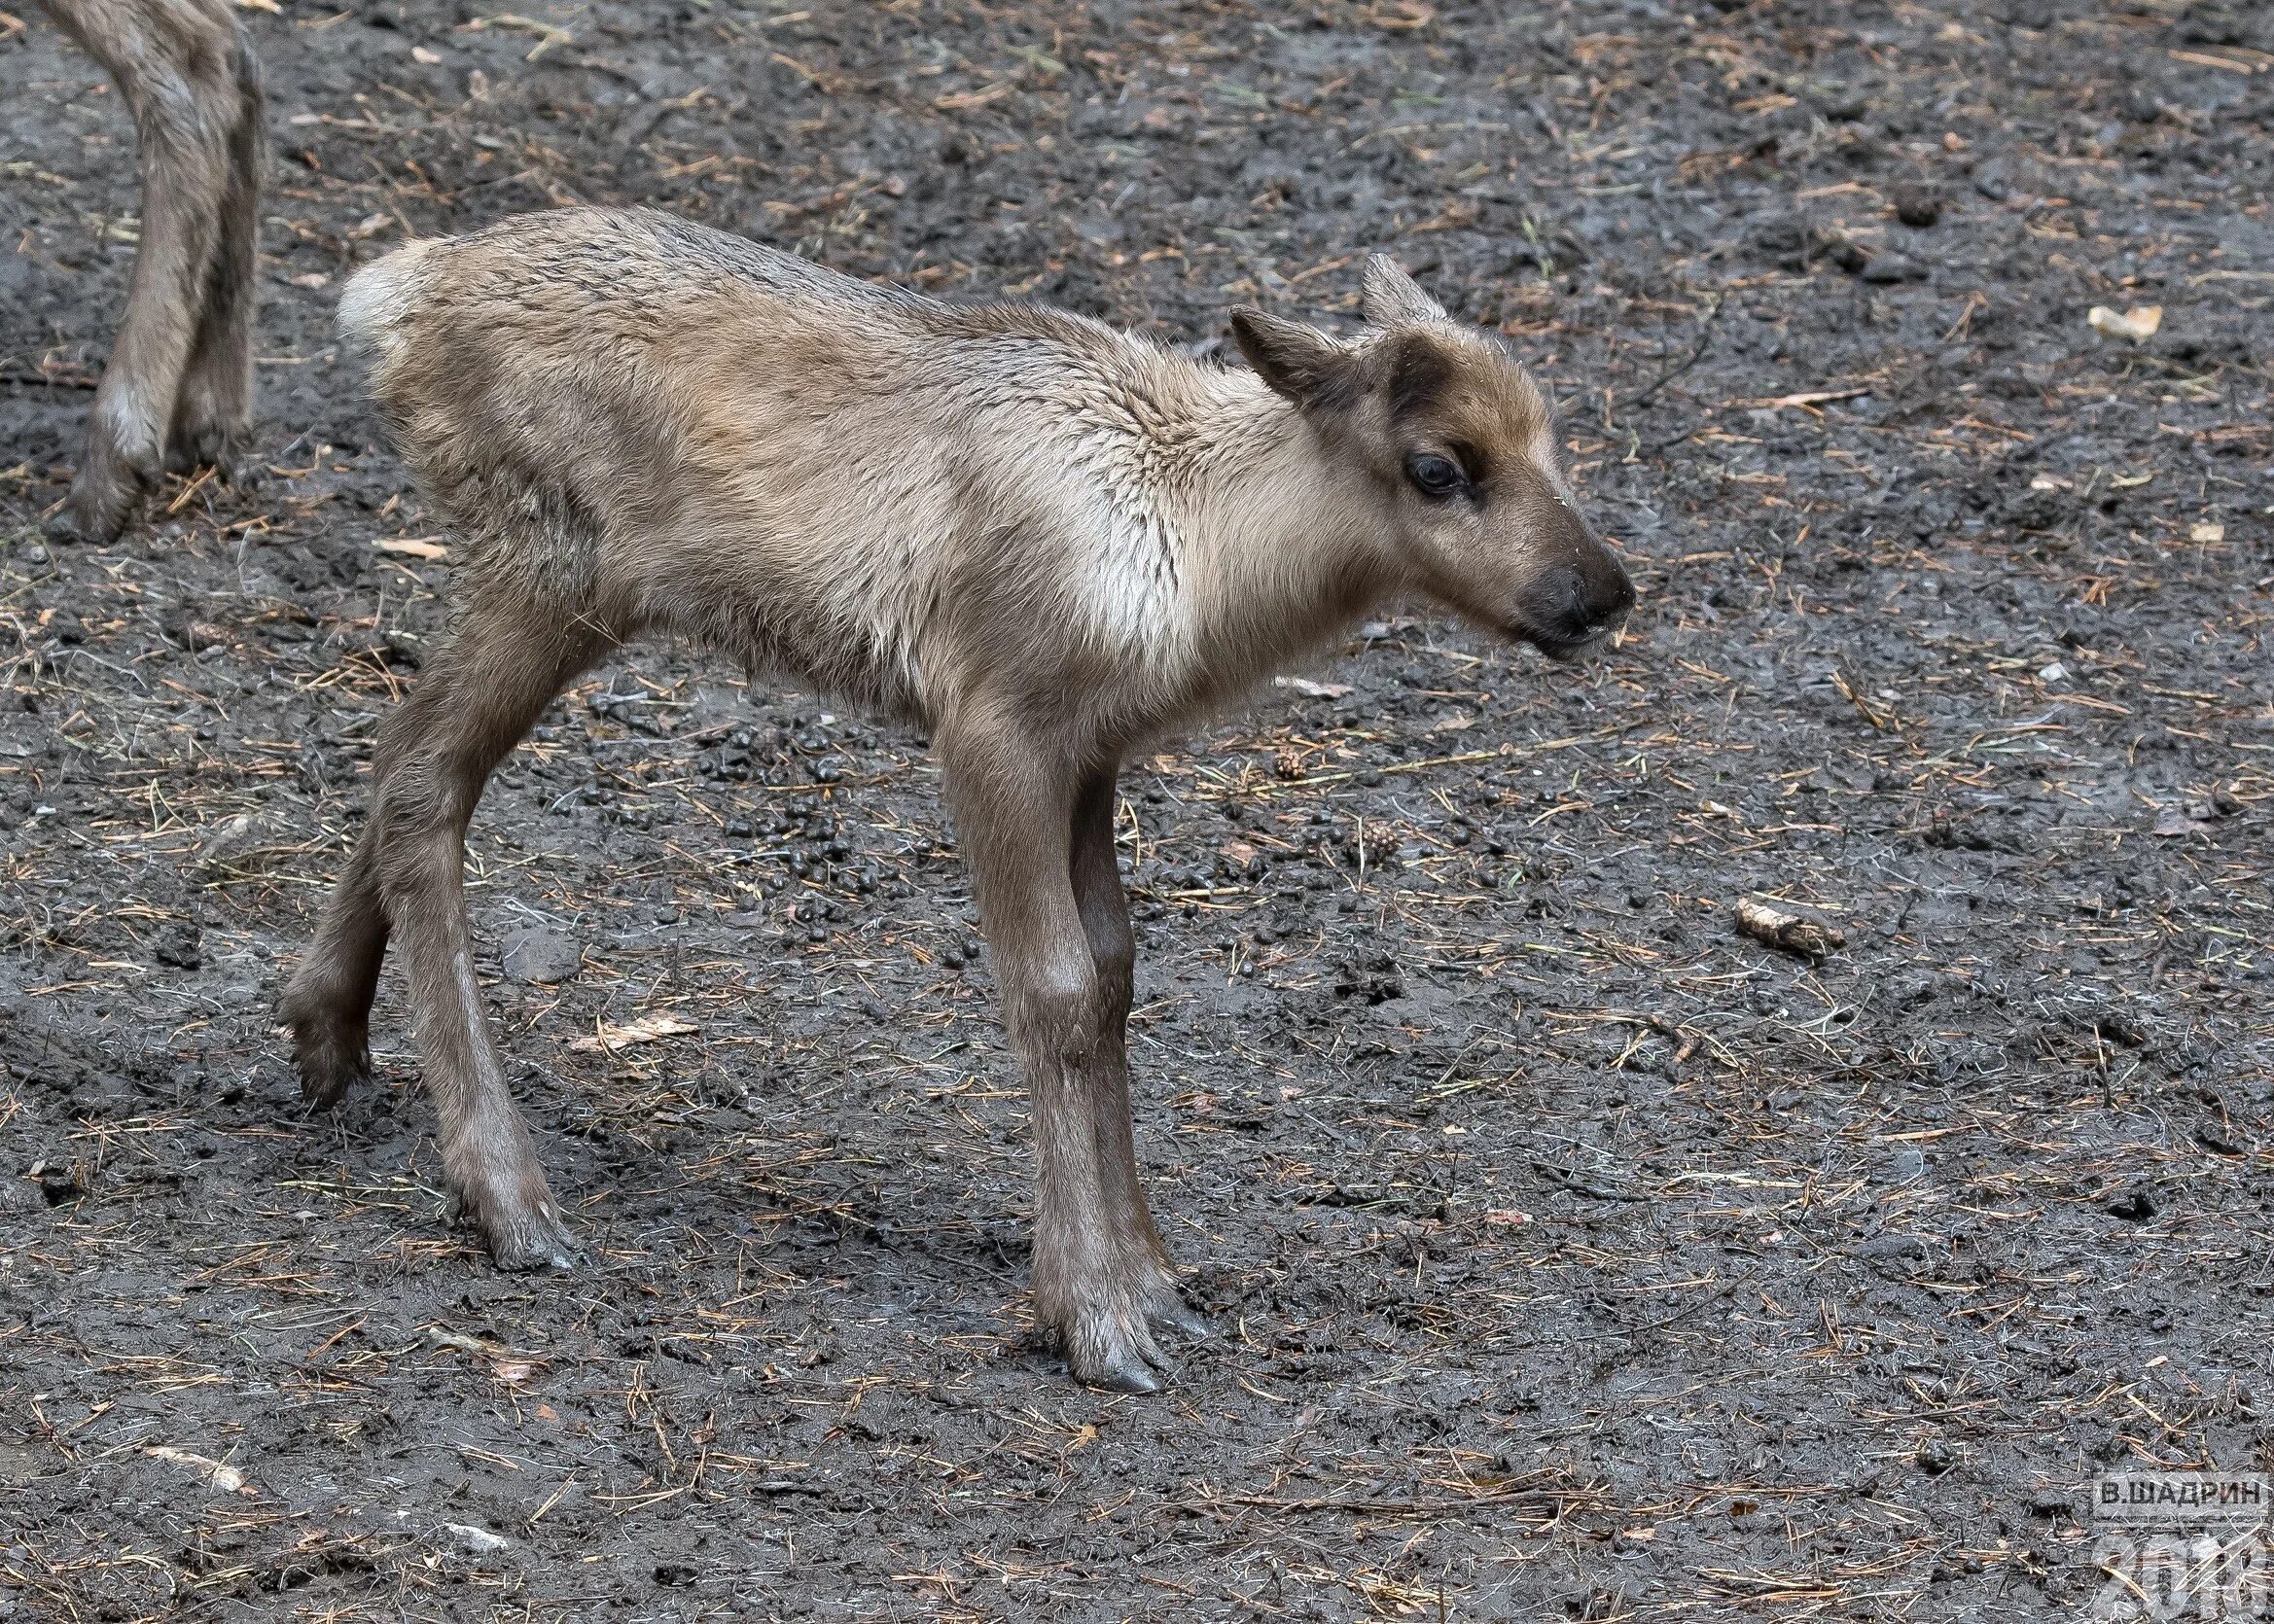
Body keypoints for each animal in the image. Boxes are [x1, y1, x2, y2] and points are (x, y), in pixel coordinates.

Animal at [288, 209, 1637, 1383]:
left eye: (1551, 432)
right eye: (1437, 466)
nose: (1600, 593)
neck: (1194, 553)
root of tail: (388, 293)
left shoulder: (1093, 749)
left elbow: (1114, 975)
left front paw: (1157, 1279)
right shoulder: (990, 721)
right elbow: (1051, 988)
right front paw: (1094, 1316)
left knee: (397, 759)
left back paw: (323, 1034)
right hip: (553, 563)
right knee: (424, 780)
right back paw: (508, 1196)